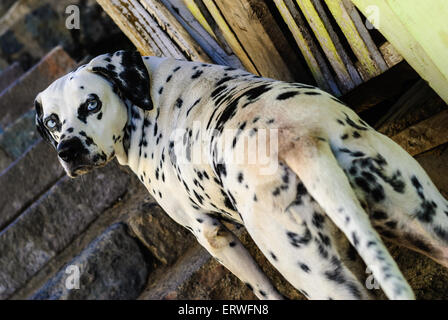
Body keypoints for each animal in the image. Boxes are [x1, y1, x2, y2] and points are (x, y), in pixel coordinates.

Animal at [36, 50, 448, 300]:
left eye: (92, 104)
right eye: (52, 121)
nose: (68, 151)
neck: (148, 95)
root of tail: (298, 139)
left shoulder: (213, 236)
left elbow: (264, 290)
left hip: (318, 276)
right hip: (424, 222)